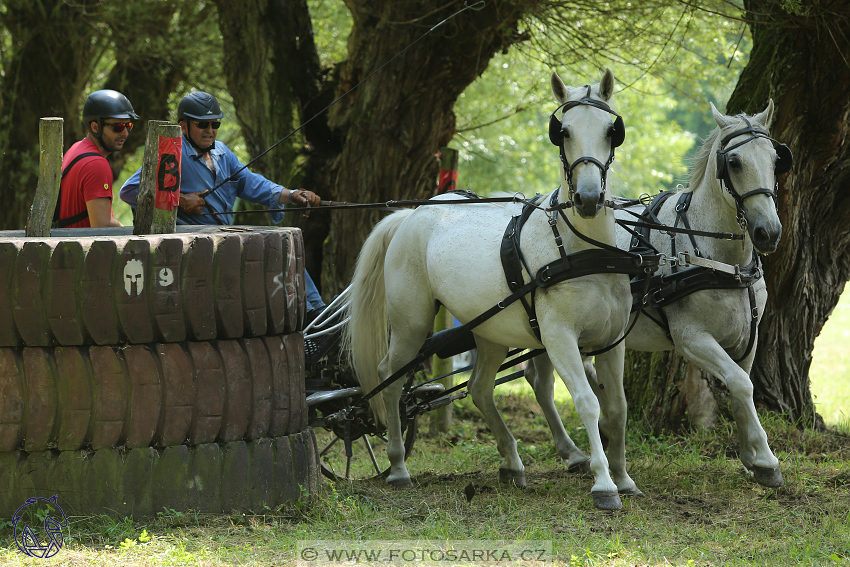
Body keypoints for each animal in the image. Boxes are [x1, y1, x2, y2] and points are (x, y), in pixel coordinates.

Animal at [342, 69, 640, 512]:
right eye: (563, 132)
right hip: (411, 324)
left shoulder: (611, 340)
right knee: (390, 378)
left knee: (480, 389)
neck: (584, 252)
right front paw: (603, 483)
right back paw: (397, 467)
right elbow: (587, 402)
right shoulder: (560, 338)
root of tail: (412, 214)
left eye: (611, 131)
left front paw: (622, 477)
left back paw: (512, 463)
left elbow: (617, 407)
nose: (588, 198)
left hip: (490, 331)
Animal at [528, 100, 784, 486]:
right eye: (734, 163)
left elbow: (740, 388)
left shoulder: (747, 339)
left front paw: (749, 456)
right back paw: (572, 450)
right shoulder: (691, 338)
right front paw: (765, 459)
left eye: (775, 159)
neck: (721, 261)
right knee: (540, 382)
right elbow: (741, 384)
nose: (768, 232)